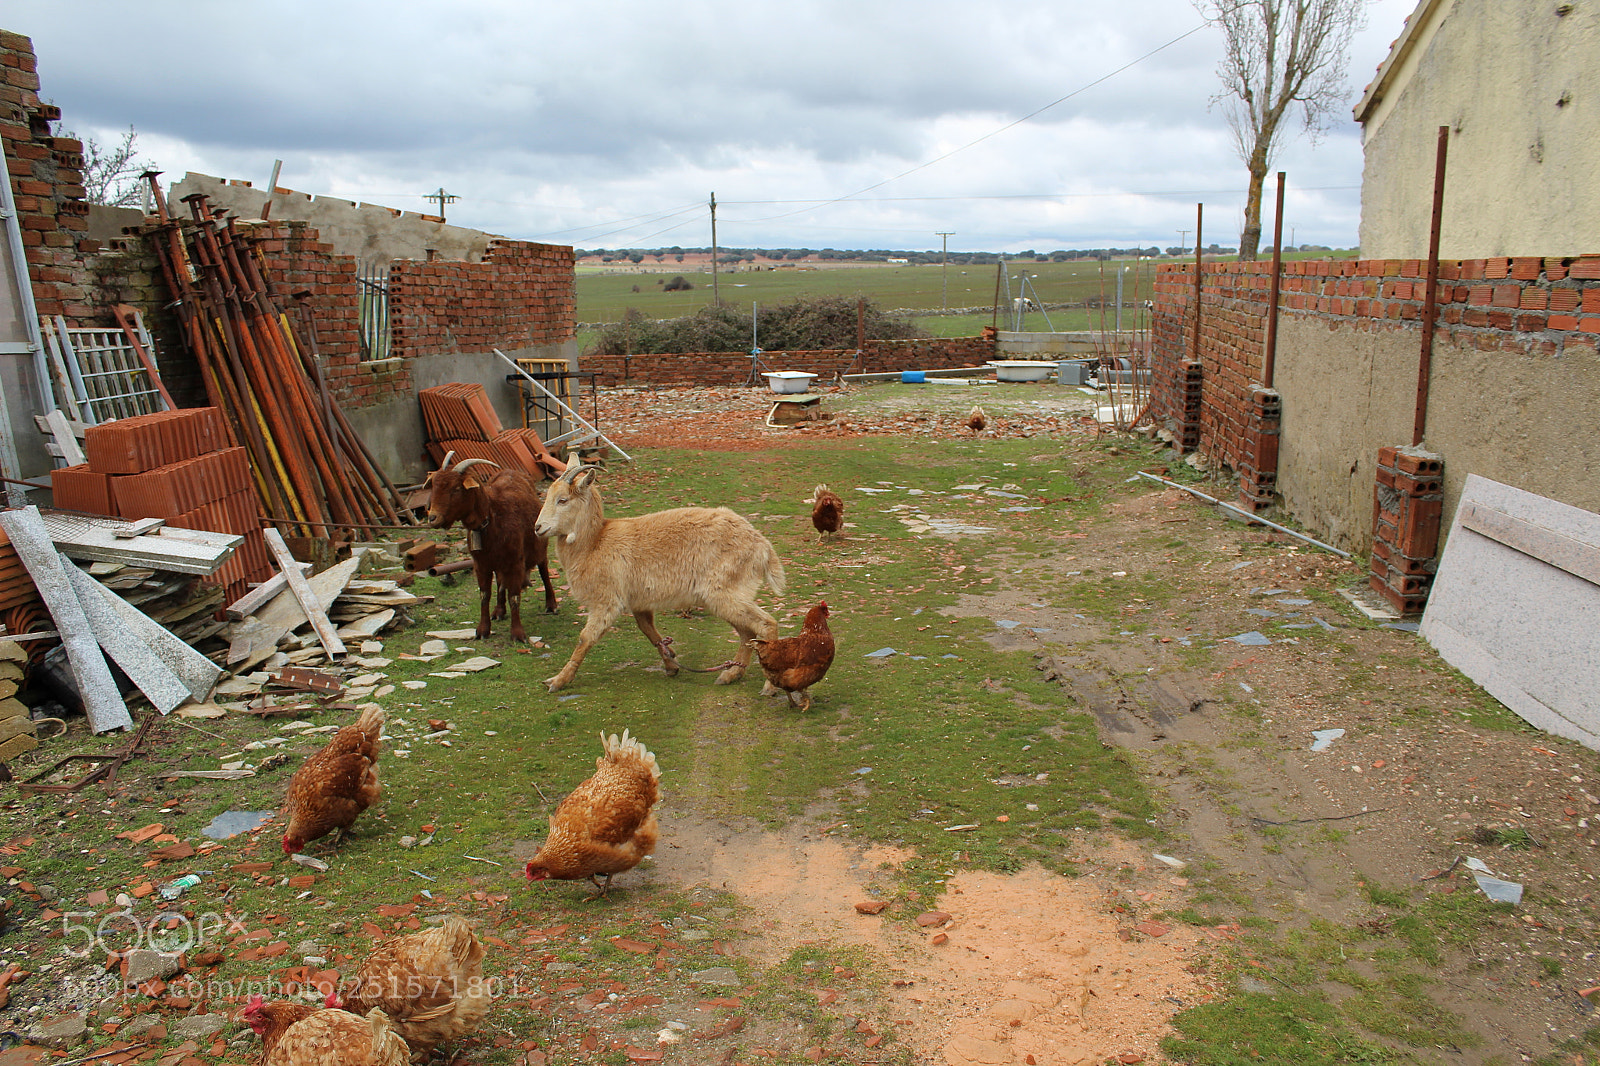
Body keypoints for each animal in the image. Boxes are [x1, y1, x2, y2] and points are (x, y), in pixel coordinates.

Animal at [425, 452, 559, 644]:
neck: (492, 518)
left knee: (544, 571)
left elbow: (514, 597)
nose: (433, 518)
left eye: (456, 489)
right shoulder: (481, 564)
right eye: (434, 486)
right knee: (501, 582)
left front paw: (518, 633)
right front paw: (483, 630)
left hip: (539, 547)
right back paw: (499, 610)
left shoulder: (515, 562)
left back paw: (551, 604)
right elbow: (484, 595)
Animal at [534, 462, 785, 693]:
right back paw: (731, 674)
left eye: (563, 500)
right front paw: (671, 664)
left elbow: (585, 638)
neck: (594, 543)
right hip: (725, 596)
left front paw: (557, 681)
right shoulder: (638, 601)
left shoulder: (606, 600)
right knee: (747, 632)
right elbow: (648, 630)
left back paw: (769, 686)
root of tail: (762, 546)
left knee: (766, 624)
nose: (538, 527)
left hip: (725, 591)